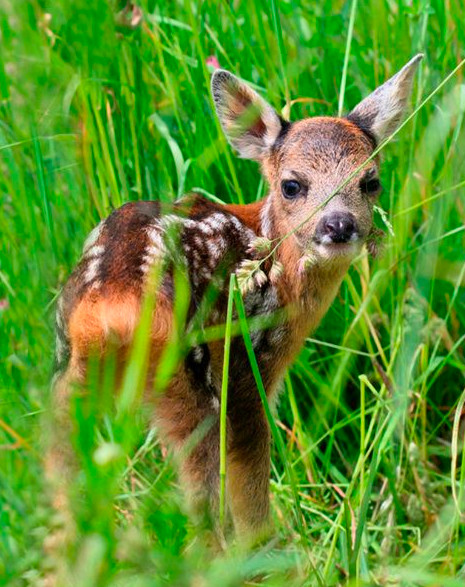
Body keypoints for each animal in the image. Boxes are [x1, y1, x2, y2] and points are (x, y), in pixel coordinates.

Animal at [49, 54, 422, 548]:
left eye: (371, 181)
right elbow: (249, 479)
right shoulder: (245, 369)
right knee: (203, 501)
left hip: (67, 378)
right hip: (187, 381)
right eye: (291, 185)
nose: (339, 225)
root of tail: (109, 312)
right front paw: (267, 544)